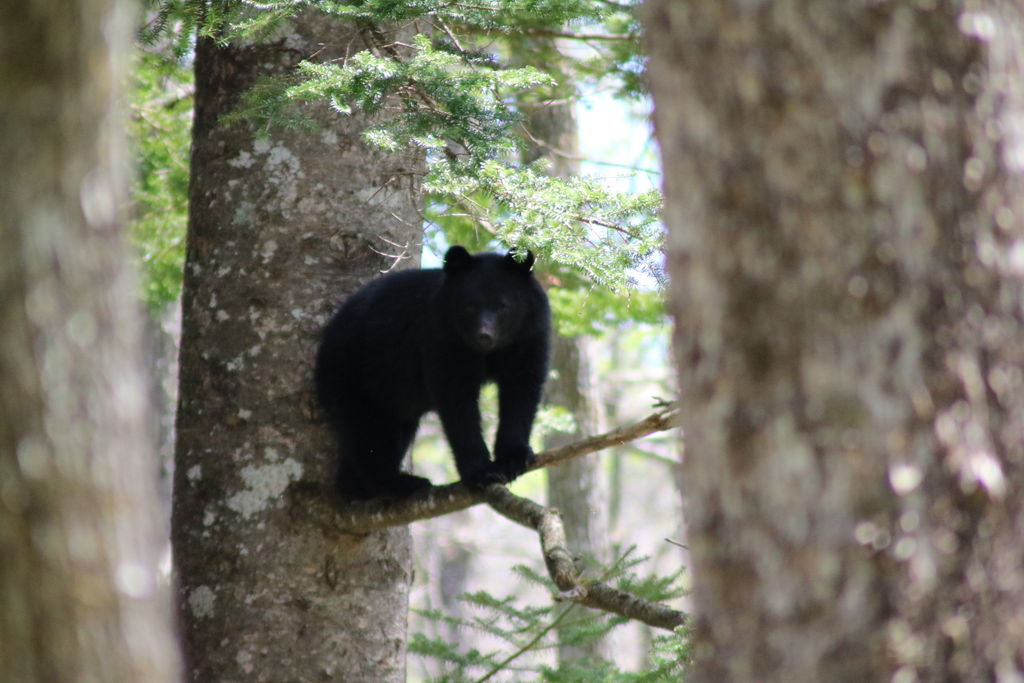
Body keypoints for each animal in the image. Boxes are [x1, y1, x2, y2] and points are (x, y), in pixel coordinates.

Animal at [315, 245, 552, 497]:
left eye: (503, 306)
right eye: (469, 305)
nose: (484, 336)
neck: (487, 352)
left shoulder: (528, 336)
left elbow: (521, 388)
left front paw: (513, 459)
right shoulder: (441, 338)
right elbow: (456, 400)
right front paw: (482, 472)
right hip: (353, 373)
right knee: (369, 431)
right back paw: (398, 483)